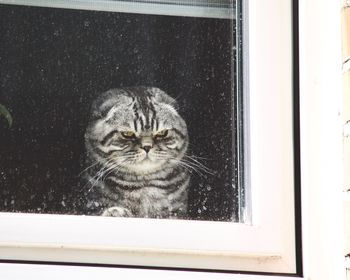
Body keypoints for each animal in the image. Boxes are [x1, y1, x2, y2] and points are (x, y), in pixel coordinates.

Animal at [80, 86, 190, 219]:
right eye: (127, 134)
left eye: (162, 133)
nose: (147, 146)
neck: (145, 185)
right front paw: (116, 212)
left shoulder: (177, 211)